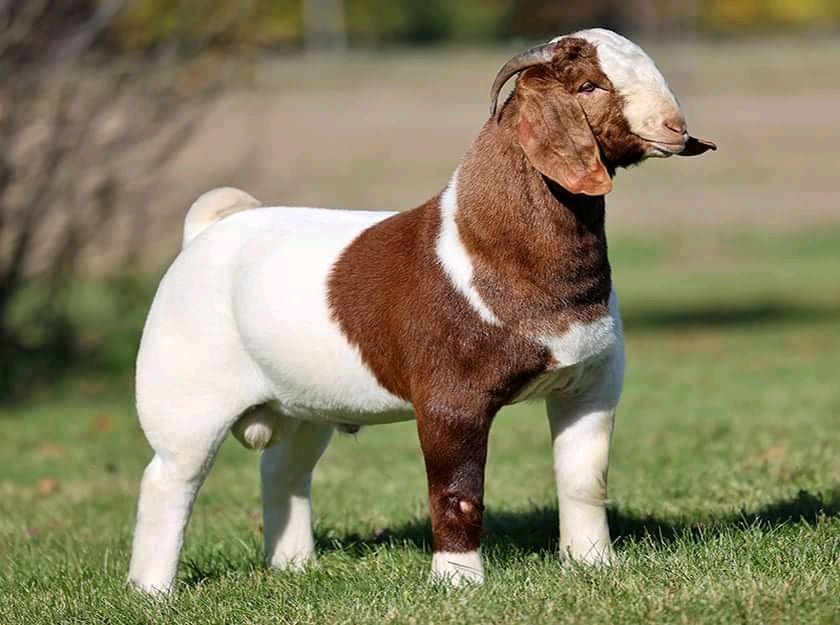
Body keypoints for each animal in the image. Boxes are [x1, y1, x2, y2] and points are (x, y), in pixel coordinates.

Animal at [128, 28, 715, 593]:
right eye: (589, 86)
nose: (675, 126)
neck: (491, 244)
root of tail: (207, 232)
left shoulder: (590, 386)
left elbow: (583, 481)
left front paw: (592, 565)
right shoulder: (449, 400)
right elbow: (457, 492)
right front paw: (458, 582)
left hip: (303, 402)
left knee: (284, 470)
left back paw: (294, 568)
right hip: (184, 397)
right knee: (169, 480)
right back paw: (153, 590)